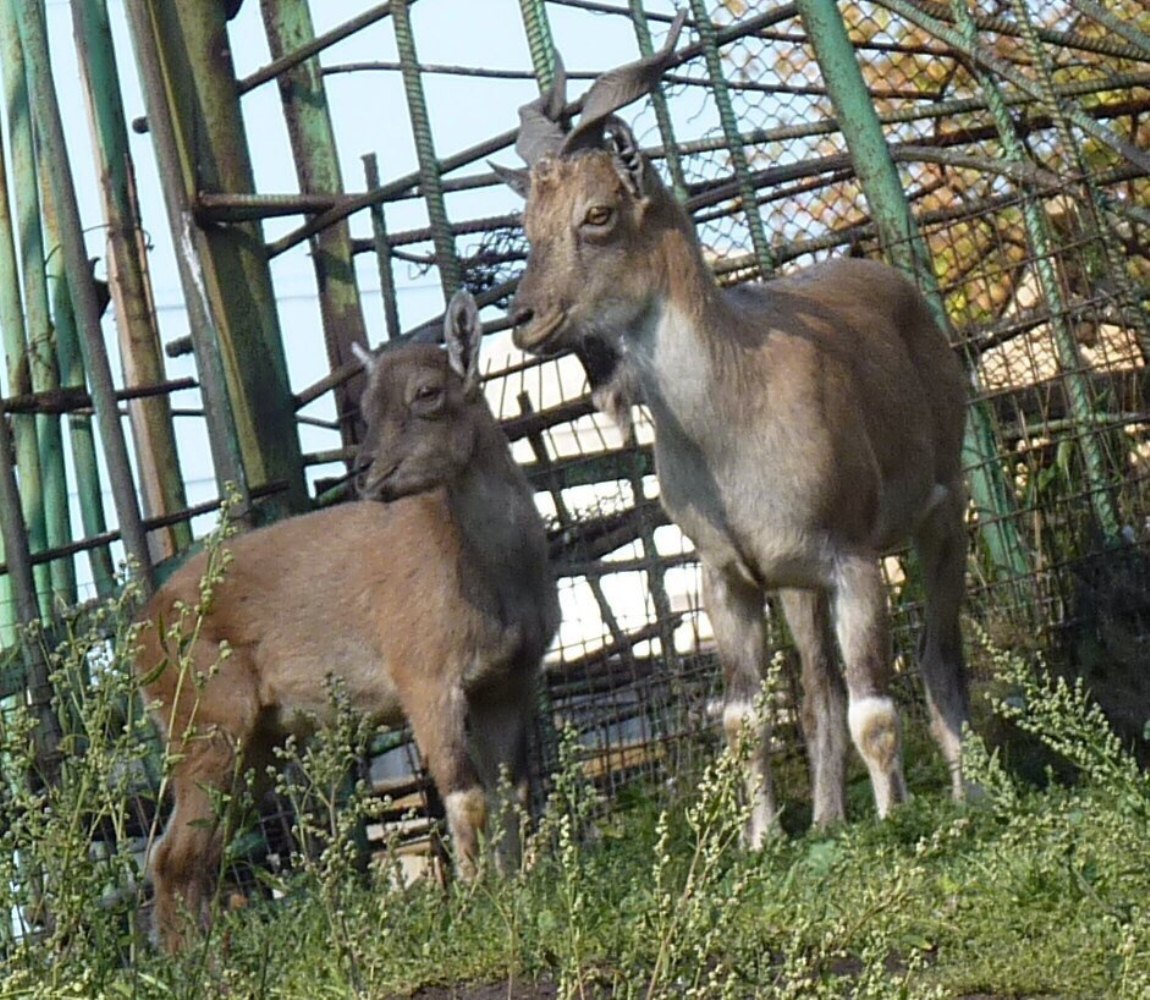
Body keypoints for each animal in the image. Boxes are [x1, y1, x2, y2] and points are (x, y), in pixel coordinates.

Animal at [136, 291, 558, 956]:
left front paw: (520, 891)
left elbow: (512, 796)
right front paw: (476, 905)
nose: (366, 471)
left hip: (251, 743)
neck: (490, 571)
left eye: (427, 392)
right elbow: (466, 799)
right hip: (206, 724)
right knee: (172, 855)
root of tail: (143, 631)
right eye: (363, 405)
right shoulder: (425, 680)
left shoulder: (509, 683)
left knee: (194, 852)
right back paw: (191, 965)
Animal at [501, 19, 970, 841]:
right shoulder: (728, 574)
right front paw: (761, 840)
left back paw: (972, 795)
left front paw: (895, 820)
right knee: (818, 690)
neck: (731, 422)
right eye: (529, 224)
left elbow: (878, 709)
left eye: (598, 214)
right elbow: (746, 719)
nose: (525, 316)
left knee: (939, 656)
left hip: (943, 515)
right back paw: (826, 820)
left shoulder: (853, 558)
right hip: (796, 583)